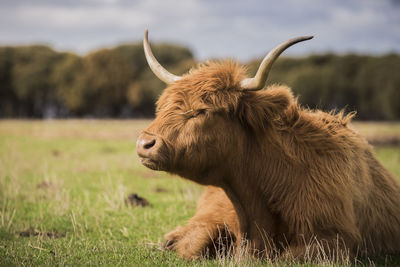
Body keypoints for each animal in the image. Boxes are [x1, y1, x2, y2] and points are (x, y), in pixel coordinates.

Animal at [137, 29, 400, 262]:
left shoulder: (335, 240)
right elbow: (193, 245)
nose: (144, 143)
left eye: (202, 111)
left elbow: (287, 257)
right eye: (162, 106)